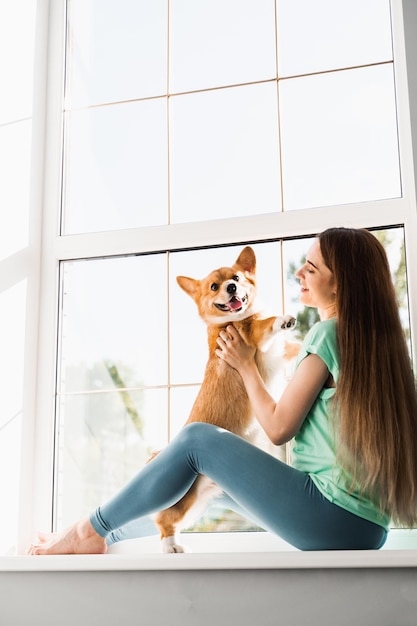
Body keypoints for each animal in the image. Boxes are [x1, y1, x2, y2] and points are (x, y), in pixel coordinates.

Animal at [153, 245, 296, 552]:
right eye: (214, 287)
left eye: (237, 278)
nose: (231, 288)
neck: (235, 318)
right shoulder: (252, 335)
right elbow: (266, 324)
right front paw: (282, 319)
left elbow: (294, 346)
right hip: (185, 500)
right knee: (163, 521)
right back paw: (170, 546)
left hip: (198, 503)